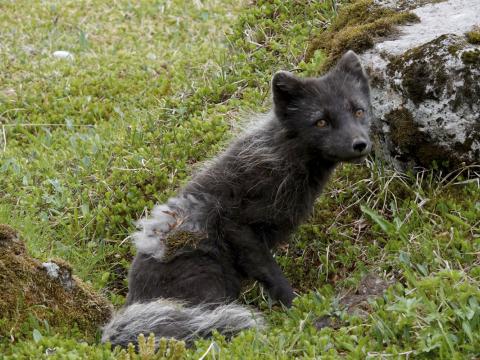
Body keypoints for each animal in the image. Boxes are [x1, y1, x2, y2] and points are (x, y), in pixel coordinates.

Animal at [102, 49, 372, 348]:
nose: (360, 144)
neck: (281, 156)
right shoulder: (239, 227)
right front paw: (296, 308)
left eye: (359, 111)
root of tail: (133, 302)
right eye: (321, 121)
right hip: (209, 276)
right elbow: (272, 273)